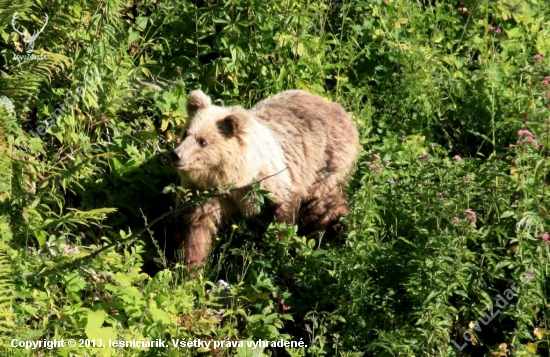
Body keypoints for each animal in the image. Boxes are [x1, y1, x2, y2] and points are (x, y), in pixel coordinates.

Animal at [174, 89, 362, 268]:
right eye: (186, 133)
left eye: (202, 141)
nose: (176, 154)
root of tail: (336, 106)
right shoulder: (204, 193)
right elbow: (195, 230)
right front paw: (191, 267)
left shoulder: (270, 184)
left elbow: (280, 220)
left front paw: (268, 252)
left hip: (324, 161)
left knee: (322, 206)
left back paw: (341, 232)